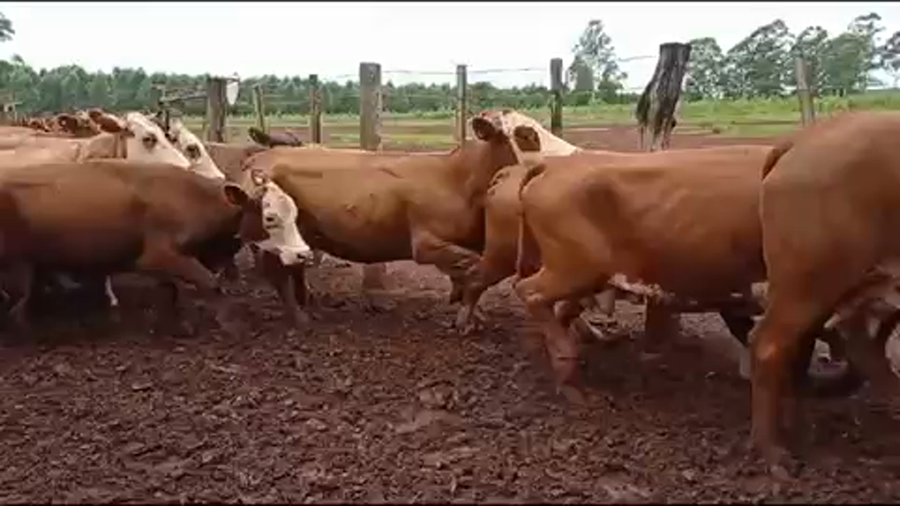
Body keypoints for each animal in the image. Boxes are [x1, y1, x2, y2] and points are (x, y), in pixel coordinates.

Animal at [0, 159, 267, 332]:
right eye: (265, 212)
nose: (265, 236)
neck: (193, 197)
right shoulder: (156, 256)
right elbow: (210, 284)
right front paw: (231, 324)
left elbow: (171, 290)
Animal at [237, 114, 540, 324]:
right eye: (524, 137)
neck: (460, 179)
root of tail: (259, 157)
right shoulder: (425, 244)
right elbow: (470, 266)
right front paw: (465, 311)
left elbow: (465, 270)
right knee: (278, 275)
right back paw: (300, 317)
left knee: (293, 269)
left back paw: (307, 302)